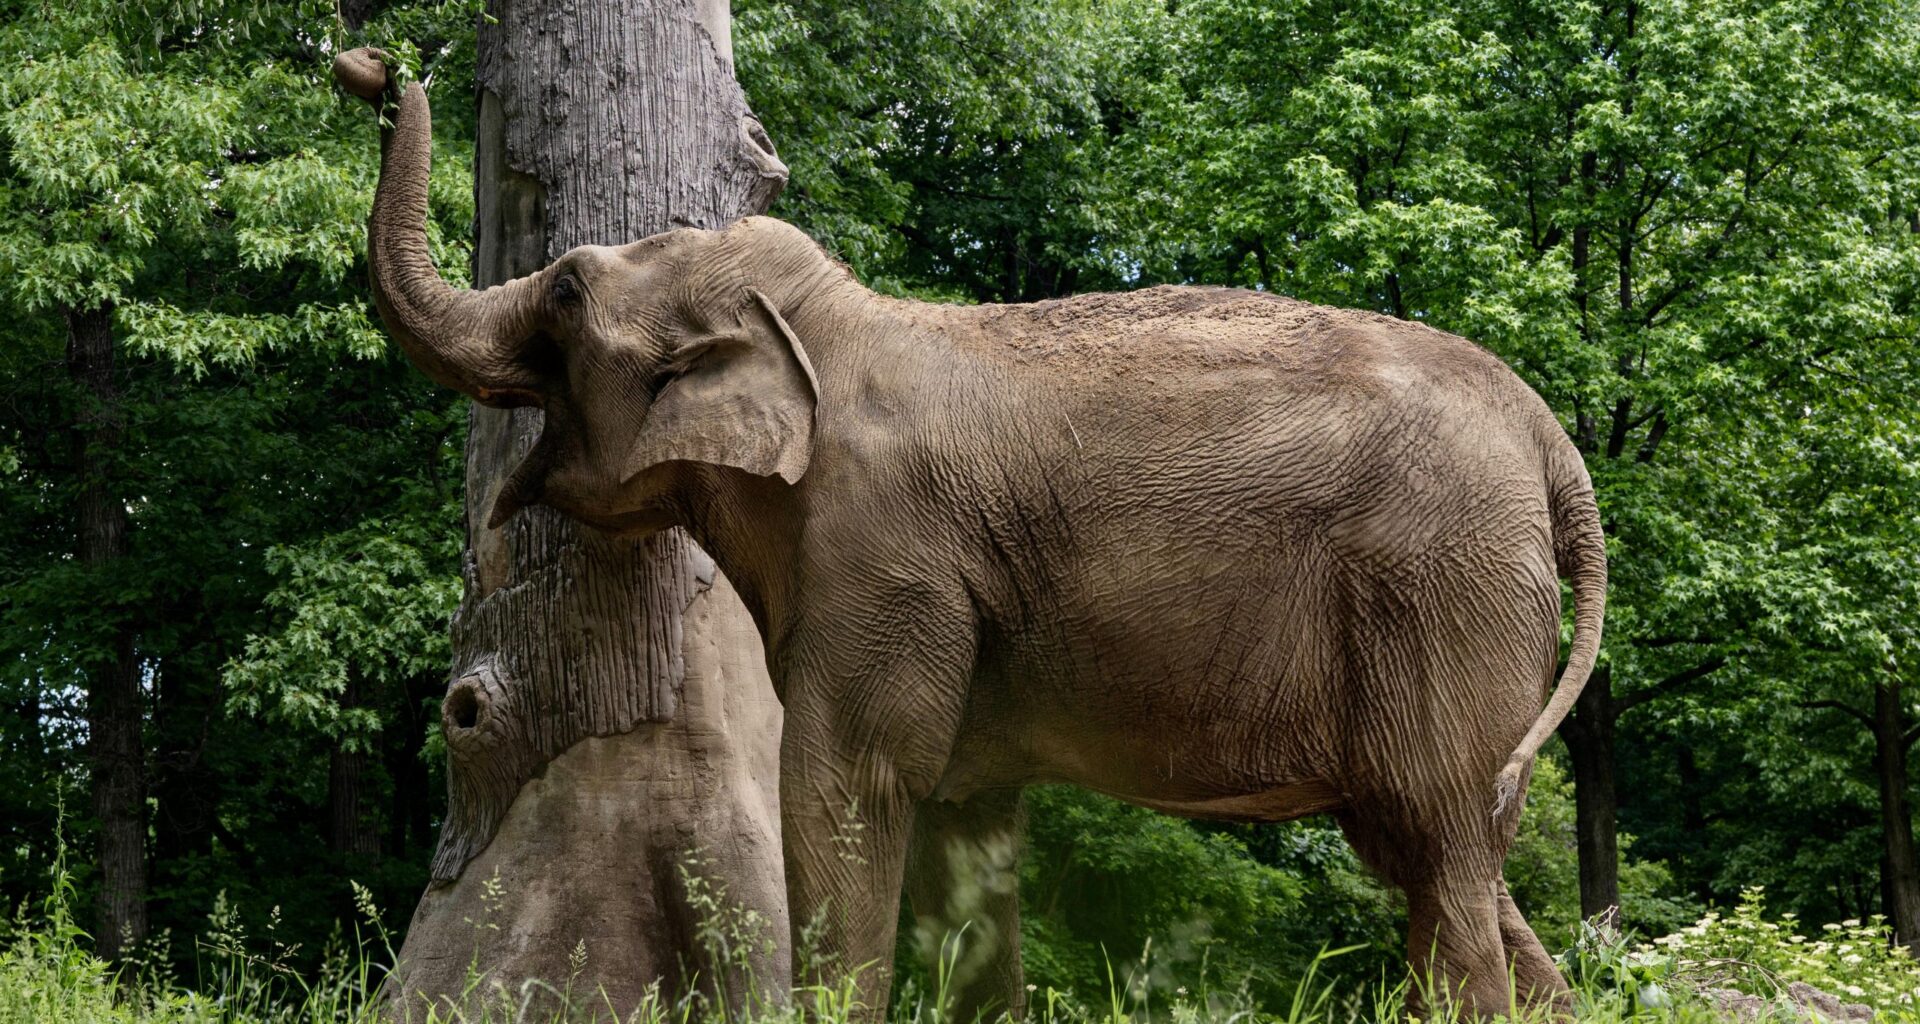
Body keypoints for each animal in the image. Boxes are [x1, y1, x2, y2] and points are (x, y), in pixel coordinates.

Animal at [334, 49, 1605, 1020]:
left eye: (562, 293)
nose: (373, 66)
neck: (832, 325)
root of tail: (1549, 438)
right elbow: (963, 824)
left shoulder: (885, 558)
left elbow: (848, 788)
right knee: (1443, 851)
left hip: (1440, 593)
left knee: (1442, 850)